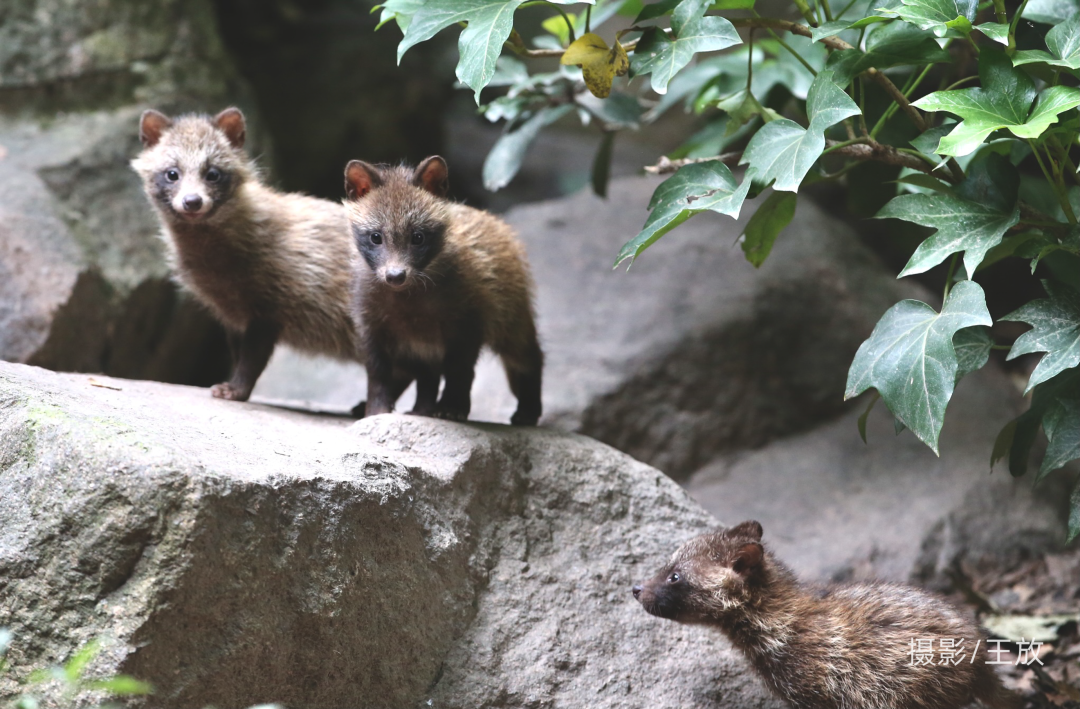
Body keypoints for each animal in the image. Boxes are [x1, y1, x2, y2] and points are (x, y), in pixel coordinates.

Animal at [131, 108, 365, 406]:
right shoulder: (234, 317)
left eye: (213, 173)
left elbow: (251, 362)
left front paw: (232, 391)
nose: (192, 201)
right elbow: (239, 357)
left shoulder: (269, 311)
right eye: (172, 173)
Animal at [343, 156, 540, 423]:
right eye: (376, 237)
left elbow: (459, 372)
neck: (408, 304)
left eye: (418, 237)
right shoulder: (371, 327)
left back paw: (528, 410)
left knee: (531, 358)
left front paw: (451, 407)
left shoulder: (467, 324)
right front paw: (376, 411)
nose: (395, 276)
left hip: (512, 321)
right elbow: (378, 376)